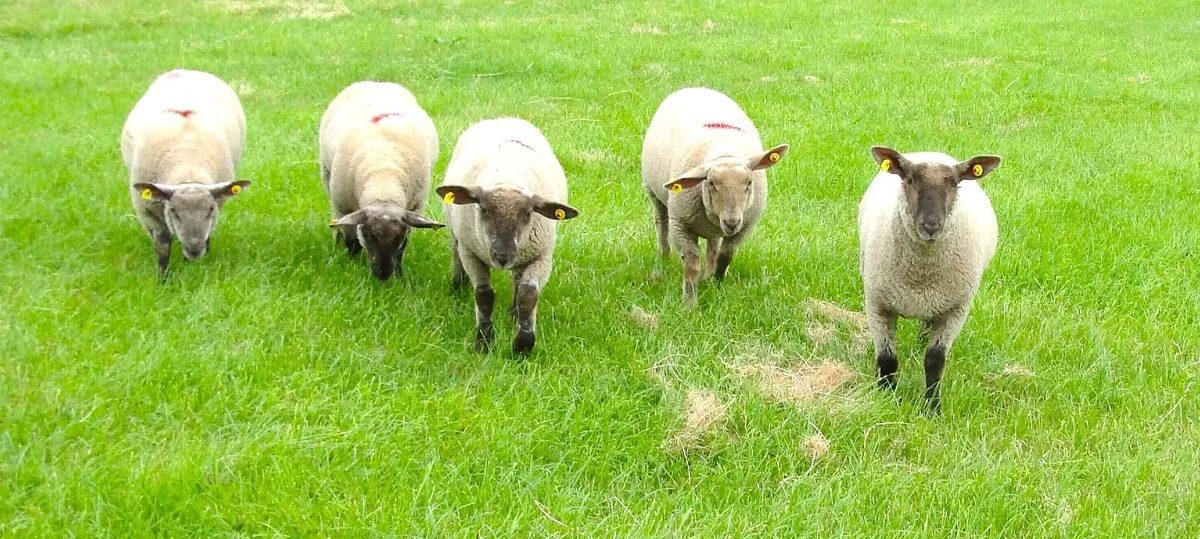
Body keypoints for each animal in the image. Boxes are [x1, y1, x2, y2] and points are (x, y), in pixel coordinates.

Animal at [121, 69, 250, 276]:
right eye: (174, 211)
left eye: (210, 209)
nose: (195, 249)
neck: (187, 167)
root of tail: (185, 71)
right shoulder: (147, 212)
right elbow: (162, 248)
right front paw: (162, 278)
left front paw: (190, 269)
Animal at [319, 81, 443, 281]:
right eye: (368, 235)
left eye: (399, 237)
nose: (382, 276)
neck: (384, 178)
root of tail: (375, 82)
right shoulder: (344, 206)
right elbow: (352, 241)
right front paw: (352, 264)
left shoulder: (414, 208)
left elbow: (401, 250)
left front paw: (399, 275)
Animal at [435, 118, 579, 355]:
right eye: (484, 209)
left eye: (528, 213)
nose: (502, 256)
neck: (507, 178)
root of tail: (503, 118)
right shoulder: (471, 253)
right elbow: (484, 295)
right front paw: (484, 341)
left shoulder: (541, 257)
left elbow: (528, 295)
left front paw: (523, 345)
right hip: (459, 237)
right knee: (456, 254)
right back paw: (458, 286)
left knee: (518, 282)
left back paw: (513, 315)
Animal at [640, 87, 788, 308]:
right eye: (711, 183)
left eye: (749, 182)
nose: (732, 222)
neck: (724, 152)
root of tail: (695, 87)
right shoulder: (680, 224)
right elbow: (691, 264)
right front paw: (689, 305)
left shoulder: (745, 226)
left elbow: (726, 254)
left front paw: (716, 283)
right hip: (654, 192)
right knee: (661, 222)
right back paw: (665, 256)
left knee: (714, 243)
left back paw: (709, 271)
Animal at [859, 145, 1002, 410]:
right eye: (910, 180)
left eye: (955, 183)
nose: (931, 226)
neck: (922, 276)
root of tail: (933, 151)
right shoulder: (877, 303)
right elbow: (887, 359)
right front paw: (886, 397)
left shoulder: (956, 309)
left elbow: (934, 361)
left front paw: (932, 407)